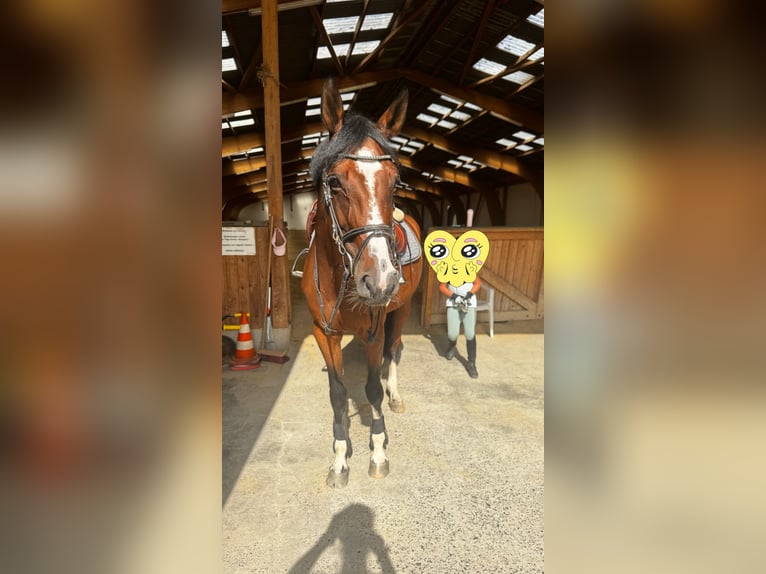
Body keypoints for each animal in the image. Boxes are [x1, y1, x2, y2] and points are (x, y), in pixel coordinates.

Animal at [300, 79, 423, 488]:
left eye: (395, 182)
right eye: (334, 181)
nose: (381, 279)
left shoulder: (373, 330)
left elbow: (371, 389)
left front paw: (379, 450)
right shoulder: (324, 332)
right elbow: (338, 394)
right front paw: (340, 459)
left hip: (400, 310)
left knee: (395, 350)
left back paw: (395, 394)